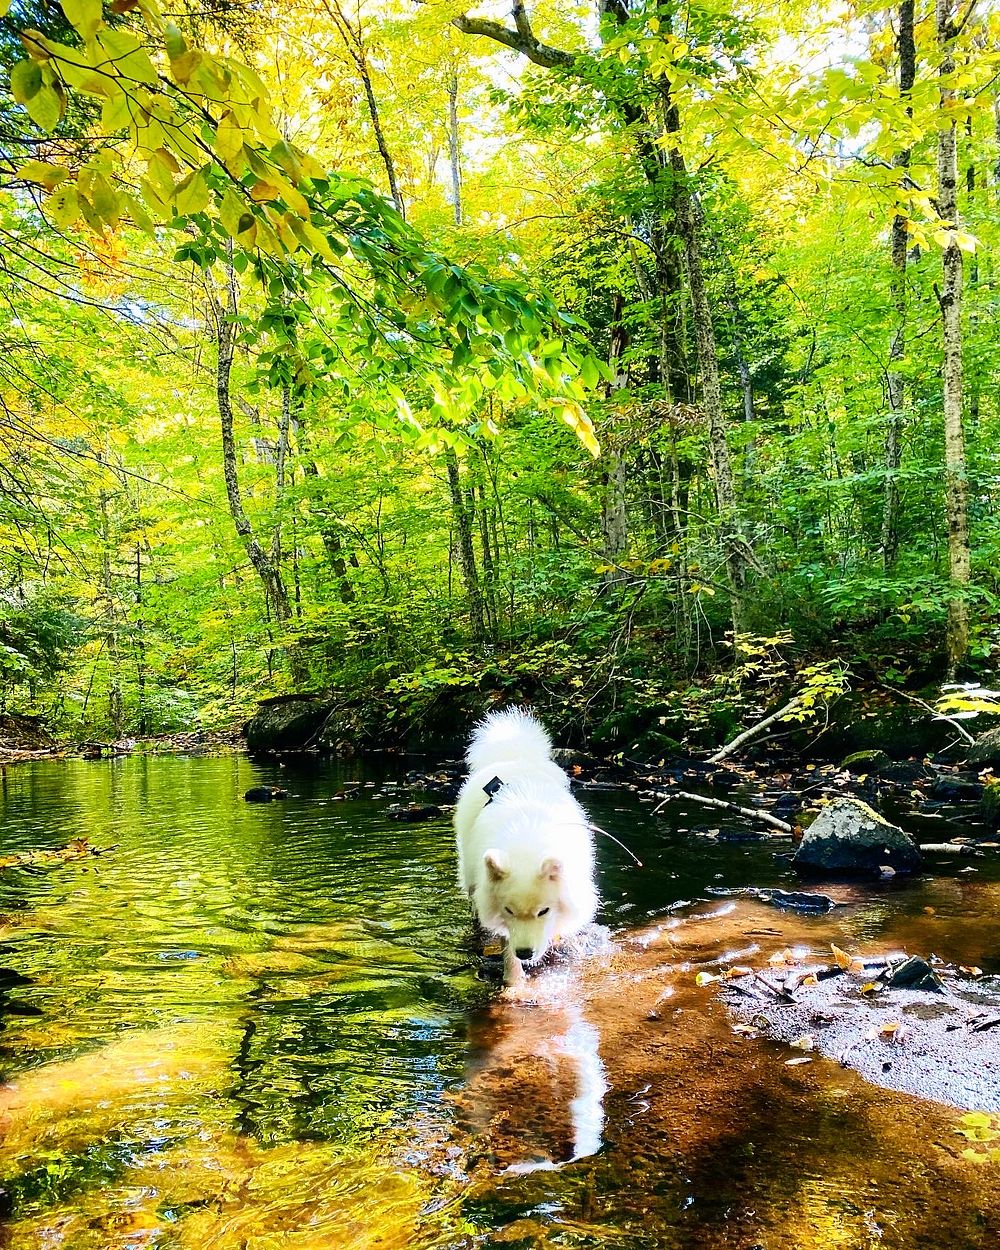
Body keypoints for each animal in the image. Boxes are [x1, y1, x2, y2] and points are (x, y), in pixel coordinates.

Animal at [457, 710, 597, 980]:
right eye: (509, 910)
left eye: (543, 911)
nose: (525, 953)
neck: (527, 844)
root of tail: (513, 756)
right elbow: (507, 950)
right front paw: (513, 983)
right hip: (470, 877)